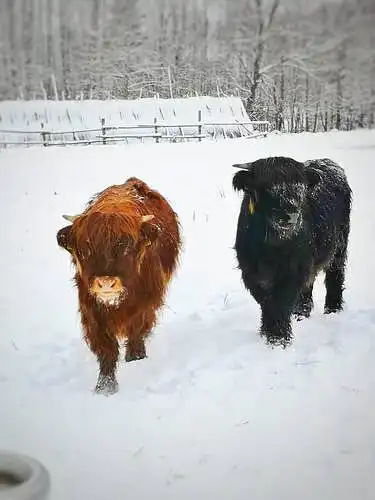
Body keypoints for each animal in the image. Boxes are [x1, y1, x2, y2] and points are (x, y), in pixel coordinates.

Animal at [55, 178, 182, 396]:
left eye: (127, 247)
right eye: (85, 249)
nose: (106, 283)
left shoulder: (146, 304)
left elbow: (137, 331)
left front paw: (136, 358)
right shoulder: (91, 311)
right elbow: (107, 349)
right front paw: (105, 388)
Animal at [234, 158, 354, 346]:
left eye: (300, 187)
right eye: (266, 187)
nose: (290, 215)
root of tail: (328, 162)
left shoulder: (293, 270)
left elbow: (280, 303)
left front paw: (278, 340)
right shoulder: (250, 272)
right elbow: (266, 302)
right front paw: (268, 334)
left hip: (339, 247)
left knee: (335, 276)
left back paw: (332, 309)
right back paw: (301, 313)